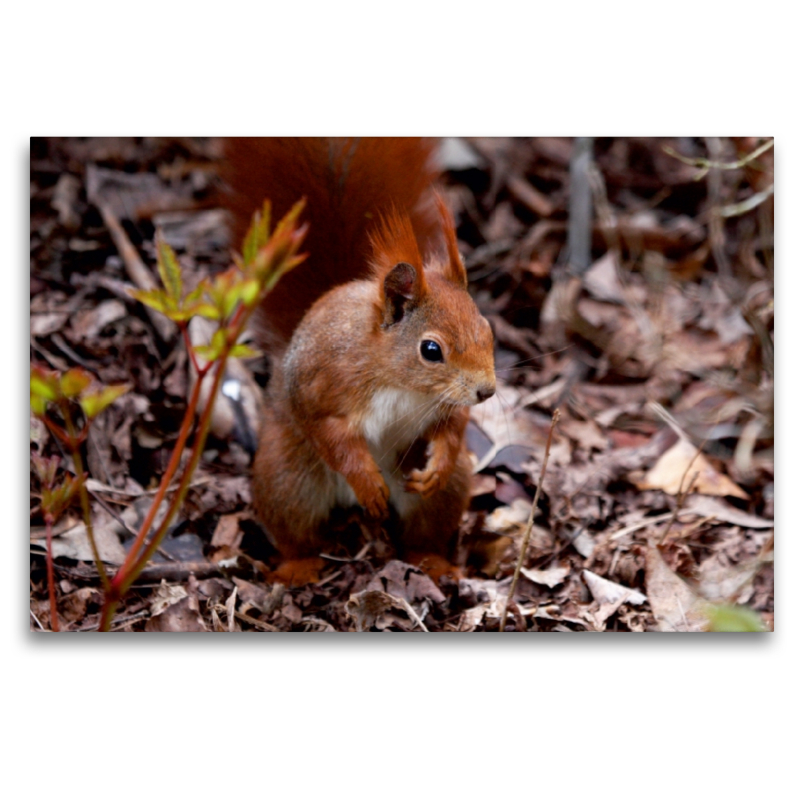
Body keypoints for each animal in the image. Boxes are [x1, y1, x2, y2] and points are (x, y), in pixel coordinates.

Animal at [220, 139, 494, 580]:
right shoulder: (322, 381)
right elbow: (329, 431)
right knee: (295, 531)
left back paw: (432, 560)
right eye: (431, 350)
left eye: (487, 329)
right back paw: (299, 566)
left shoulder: (444, 404)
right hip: (286, 480)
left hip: (443, 493)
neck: (398, 379)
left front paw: (439, 460)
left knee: (424, 530)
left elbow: (453, 423)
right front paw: (366, 481)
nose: (487, 391)